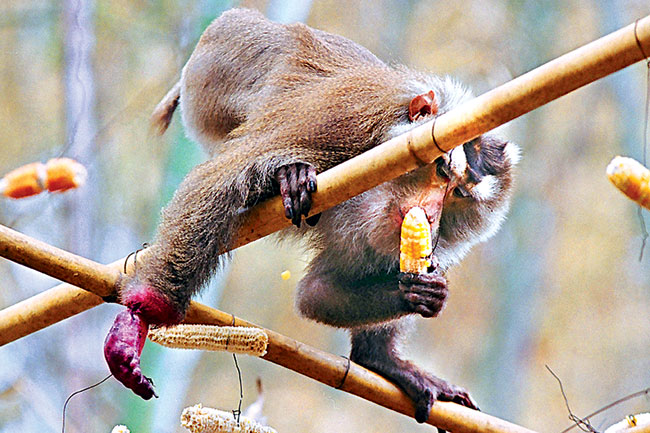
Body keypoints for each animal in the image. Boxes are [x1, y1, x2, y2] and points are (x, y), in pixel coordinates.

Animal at [103, 8, 519, 423]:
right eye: (441, 170)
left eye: (458, 195)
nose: (430, 215)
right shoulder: (346, 120)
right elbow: (215, 181)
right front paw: (142, 315)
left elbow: (316, 294)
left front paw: (413, 305)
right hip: (218, 69)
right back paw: (288, 176)